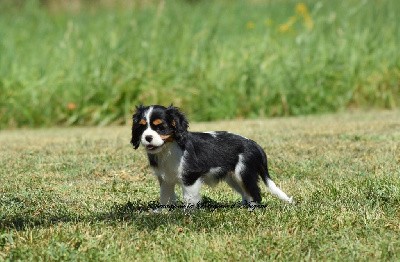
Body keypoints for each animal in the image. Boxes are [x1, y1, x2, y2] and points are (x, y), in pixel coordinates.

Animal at [131, 104, 294, 207]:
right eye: (141, 127)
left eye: (161, 127)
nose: (147, 137)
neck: (168, 148)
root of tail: (254, 144)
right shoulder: (165, 180)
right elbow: (165, 197)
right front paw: (163, 212)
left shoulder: (190, 177)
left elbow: (190, 198)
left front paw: (186, 214)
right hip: (233, 178)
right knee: (246, 193)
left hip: (244, 173)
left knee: (255, 194)